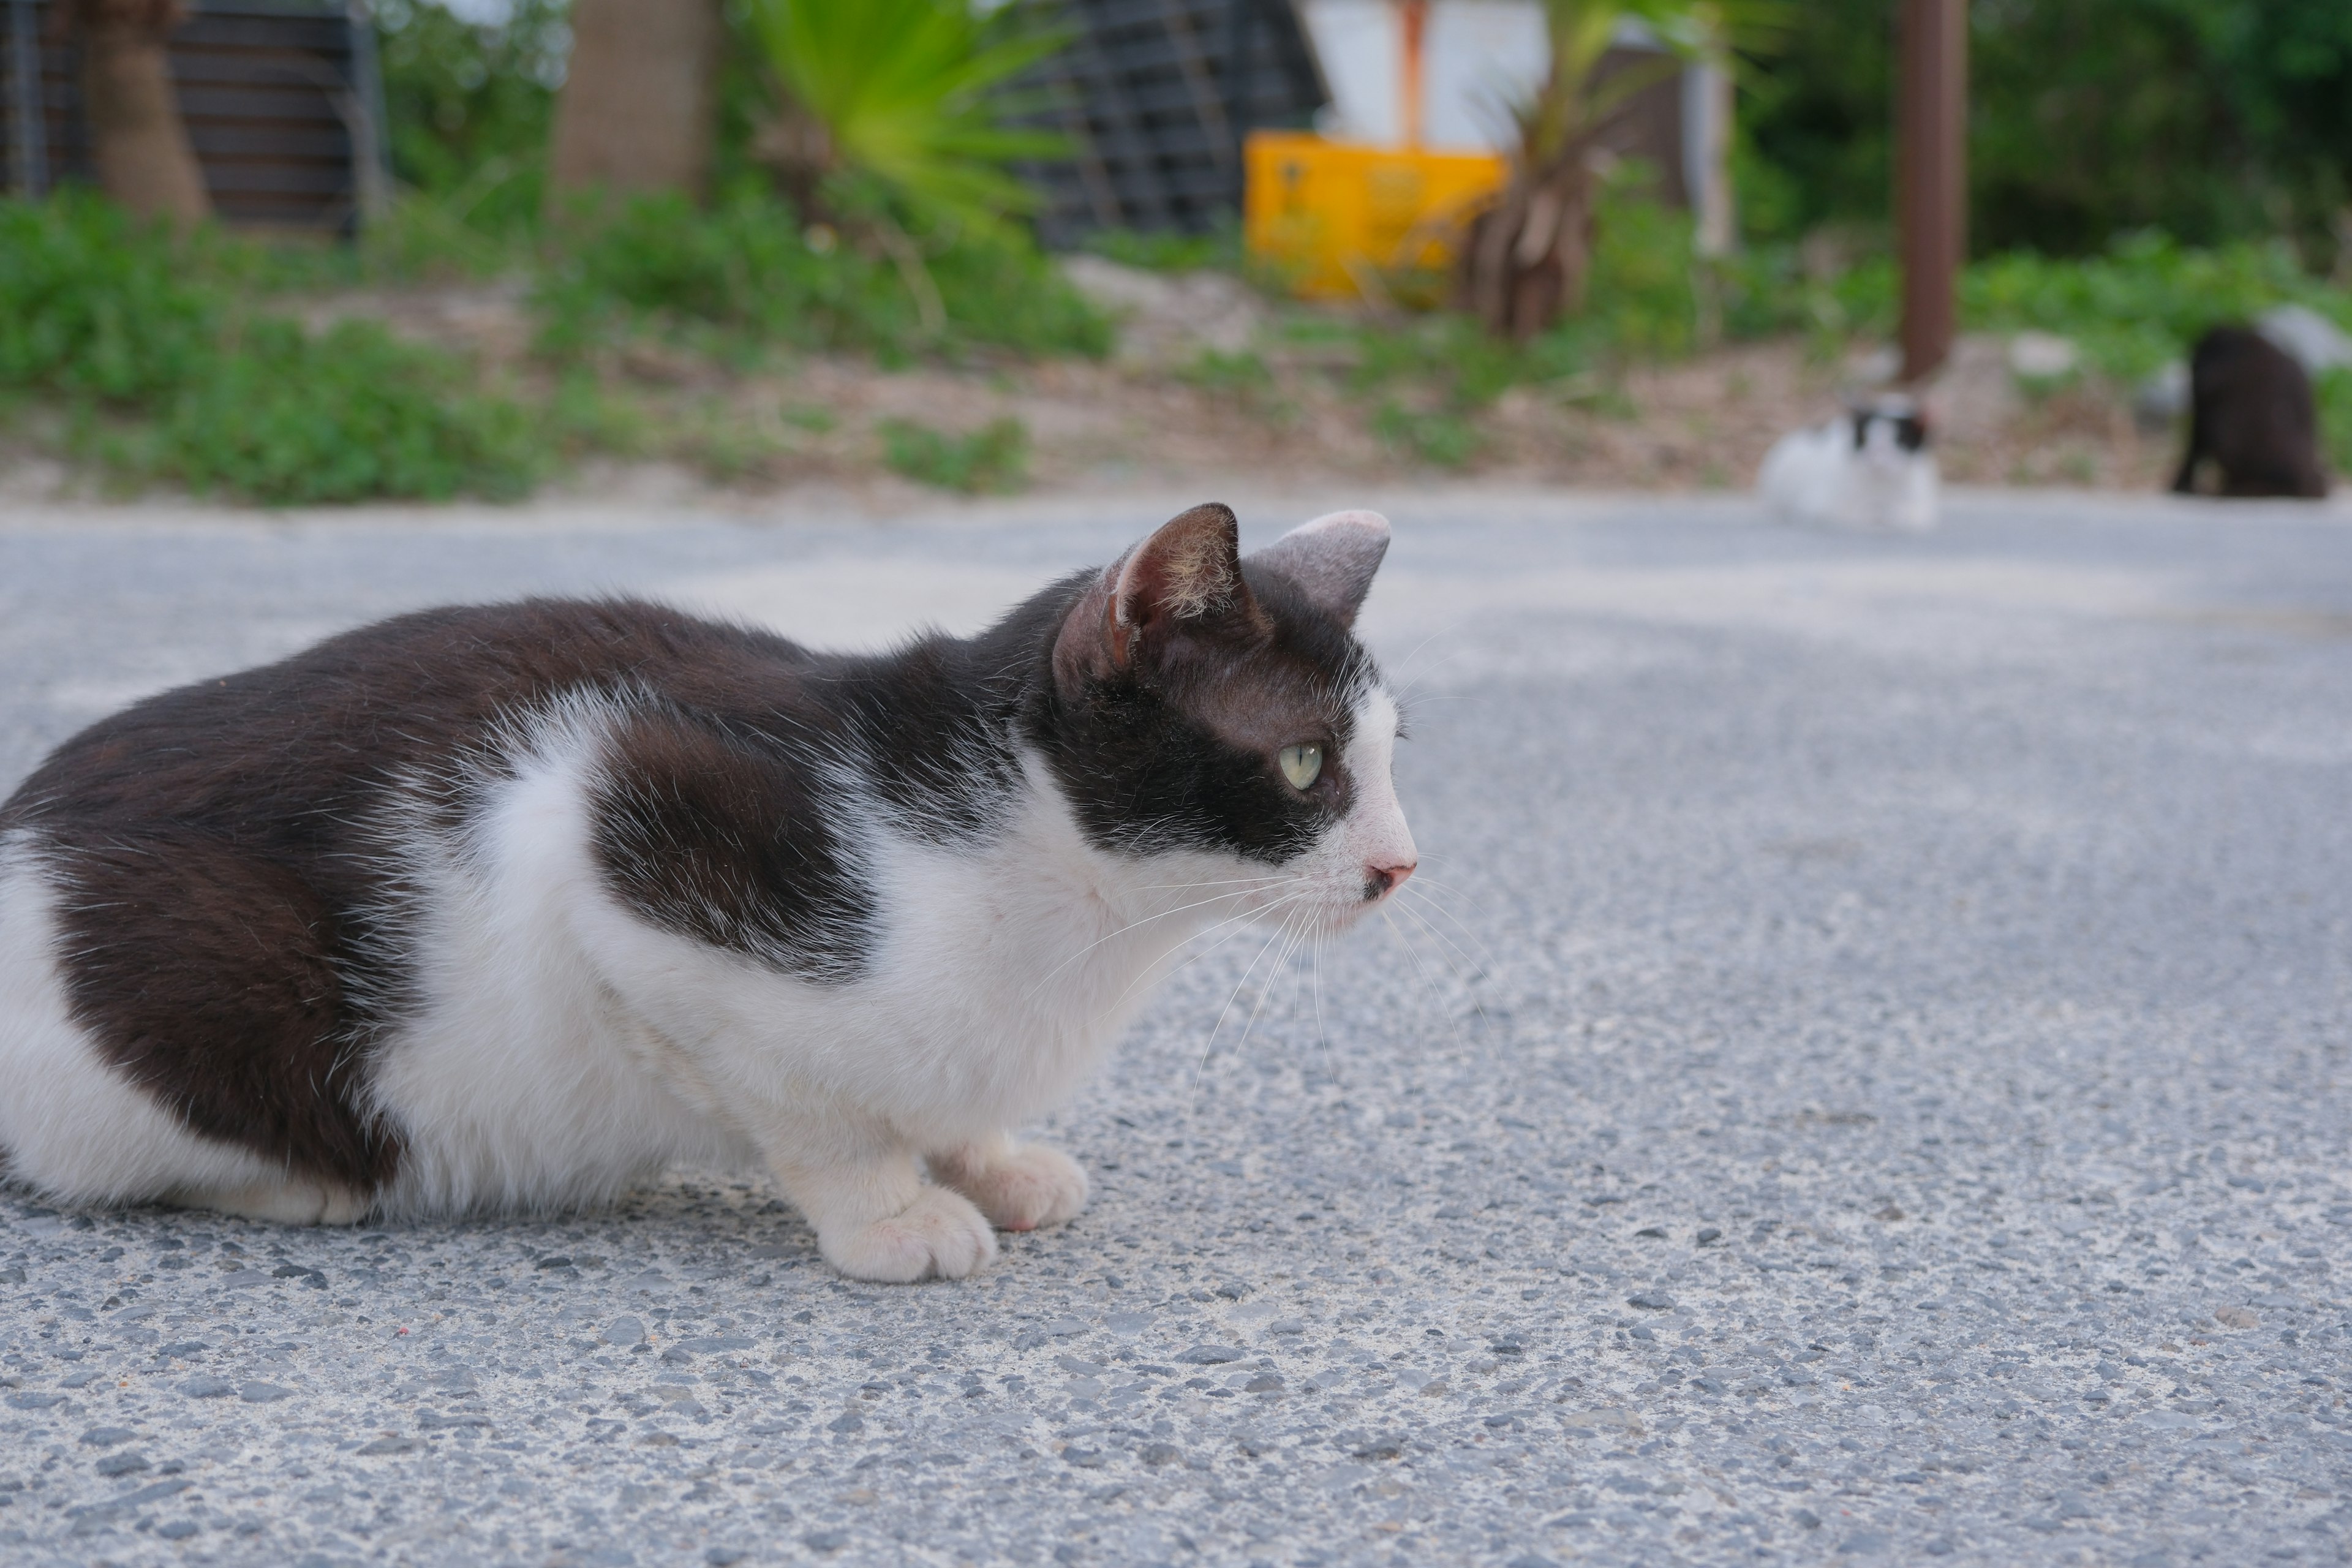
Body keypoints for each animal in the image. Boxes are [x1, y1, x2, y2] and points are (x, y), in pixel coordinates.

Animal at [0, 510, 1411, 1278]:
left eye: (1397, 753)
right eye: (1305, 763)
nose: (1402, 866)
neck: (1083, 922)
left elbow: (948, 1093)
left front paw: (993, 1159)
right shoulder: (611, 822)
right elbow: (816, 1112)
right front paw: (896, 1210)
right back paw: (311, 1184)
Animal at [1759, 392, 1938, 533]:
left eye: (1899, 441)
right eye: (1864, 439)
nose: (1875, 459)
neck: (1881, 487)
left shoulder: (1923, 507)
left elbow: (1907, 514)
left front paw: (1889, 514)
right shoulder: (1822, 505)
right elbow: (1857, 512)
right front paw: (1876, 514)